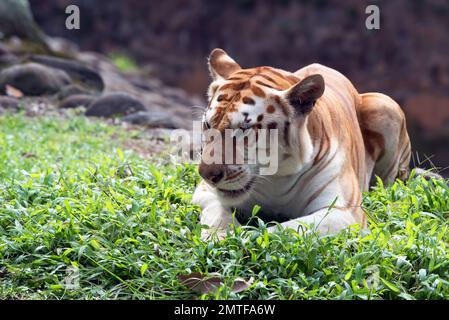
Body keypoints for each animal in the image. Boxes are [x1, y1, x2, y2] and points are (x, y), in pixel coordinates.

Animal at [192, 48, 410, 240]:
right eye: (208, 125)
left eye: (244, 128)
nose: (207, 175)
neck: (276, 178)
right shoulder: (205, 192)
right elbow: (217, 213)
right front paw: (219, 235)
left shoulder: (343, 212)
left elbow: (282, 230)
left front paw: (242, 238)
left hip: (385, 105)